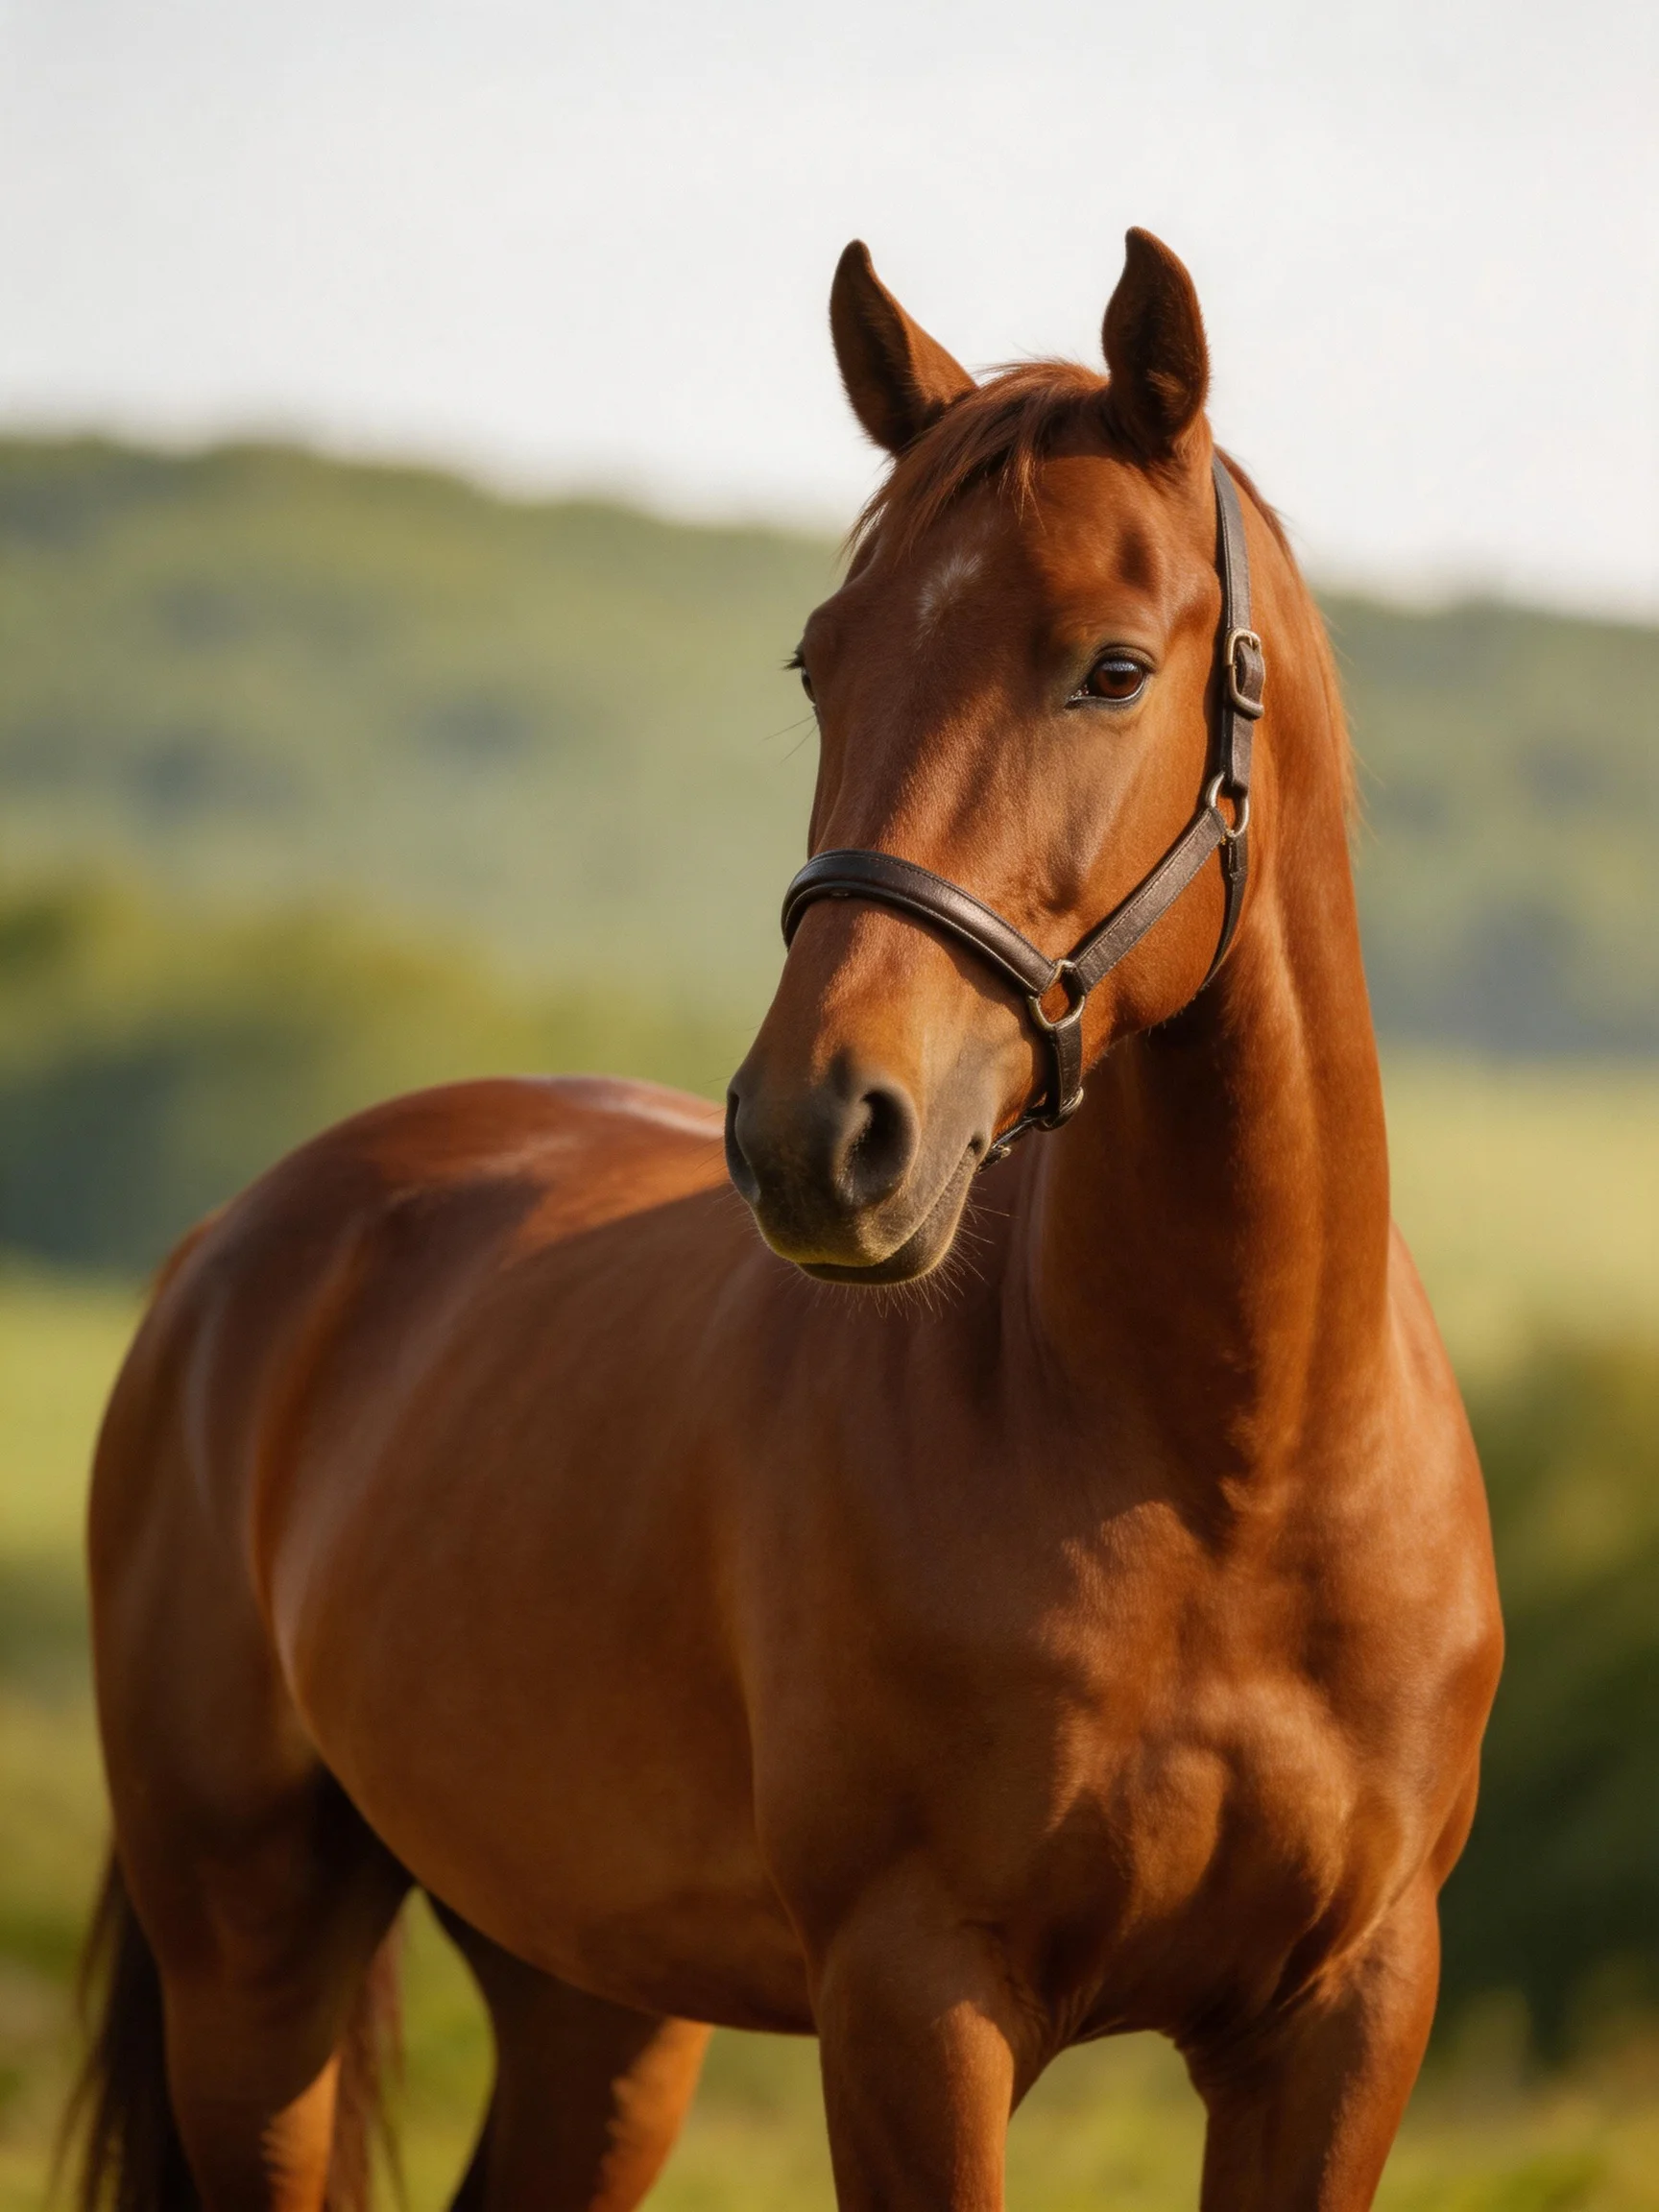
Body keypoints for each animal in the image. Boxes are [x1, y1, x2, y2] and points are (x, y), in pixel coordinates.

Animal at [71, 228, 1501, 2212]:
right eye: (821, 662)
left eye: (1112, 666)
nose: (819, 1136)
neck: (1226, 1465)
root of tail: (231, 1241)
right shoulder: (913, 2004)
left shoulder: (1343, 2015)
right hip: (252, 1954)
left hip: (591, 1990)